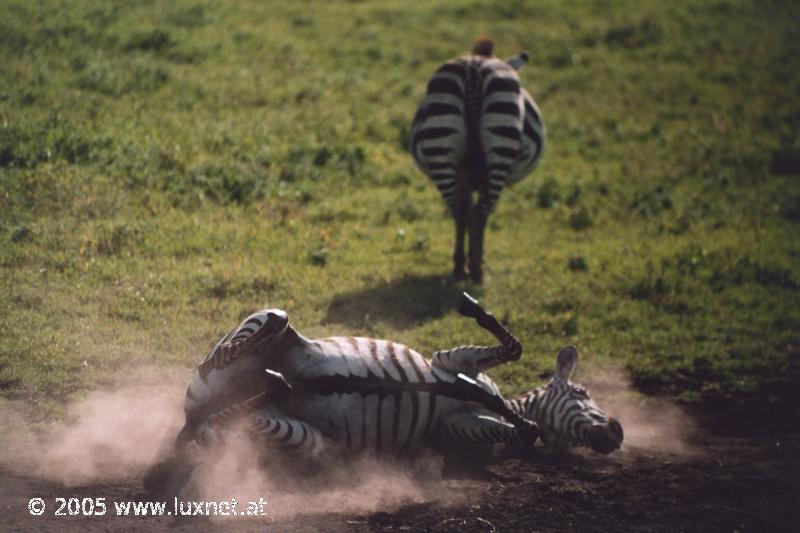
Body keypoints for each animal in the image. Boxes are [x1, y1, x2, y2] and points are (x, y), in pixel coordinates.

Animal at [173, 290, 624, 466]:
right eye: (582, 390)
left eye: (568, 443)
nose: (616, 434)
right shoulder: (451, 360)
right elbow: (513, 350)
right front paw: (472, 306)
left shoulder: (457, 429)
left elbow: (520, 429)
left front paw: (526, 425)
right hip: (261, 325)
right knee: (246, 342)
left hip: (303, 437)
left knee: (211, 421)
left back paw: (273, 384)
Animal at [412, 38, 544, 282]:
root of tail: (474, 67)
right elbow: (482, 213)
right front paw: (479, 257)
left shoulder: (462, 177)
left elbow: (465, 208)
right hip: (500, 144)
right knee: (480, 212)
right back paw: (476, 270)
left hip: (441, 145)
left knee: (459, 211)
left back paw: (459, 267)